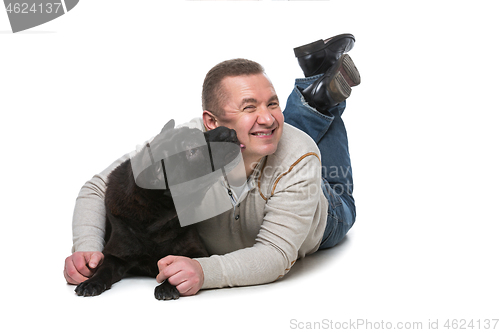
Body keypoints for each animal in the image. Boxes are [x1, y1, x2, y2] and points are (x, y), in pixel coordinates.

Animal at [75, 120, 241, 300]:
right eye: (192, 150)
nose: (229, 131)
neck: (157, 219)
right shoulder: (115, 254)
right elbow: (104, 269)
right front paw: (92, 282)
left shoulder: (197, 250)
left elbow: (185, 264)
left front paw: (168, 285)